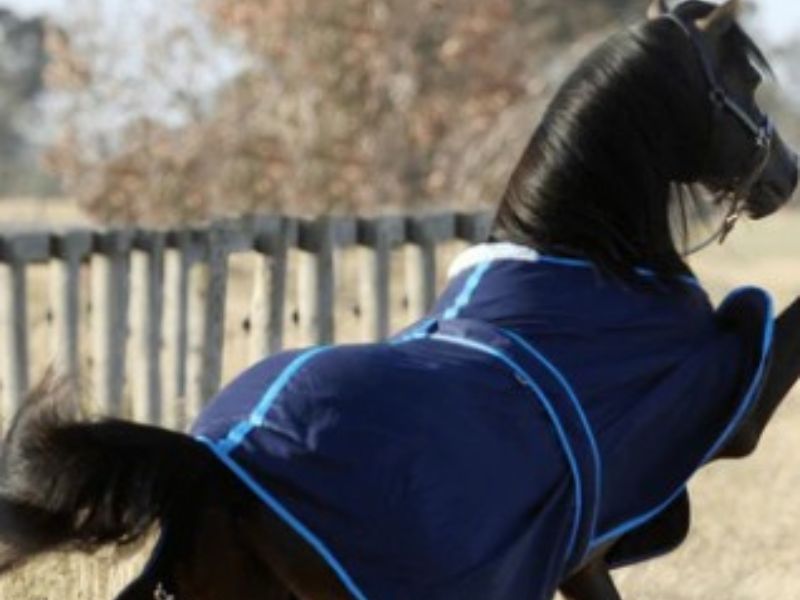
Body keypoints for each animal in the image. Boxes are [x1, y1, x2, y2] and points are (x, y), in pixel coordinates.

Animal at [0, 1, 798, 598]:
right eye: (748, 78)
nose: (785, 174)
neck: (580, 254)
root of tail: (209, 460)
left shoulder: (581, 557)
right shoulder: (724, 418)